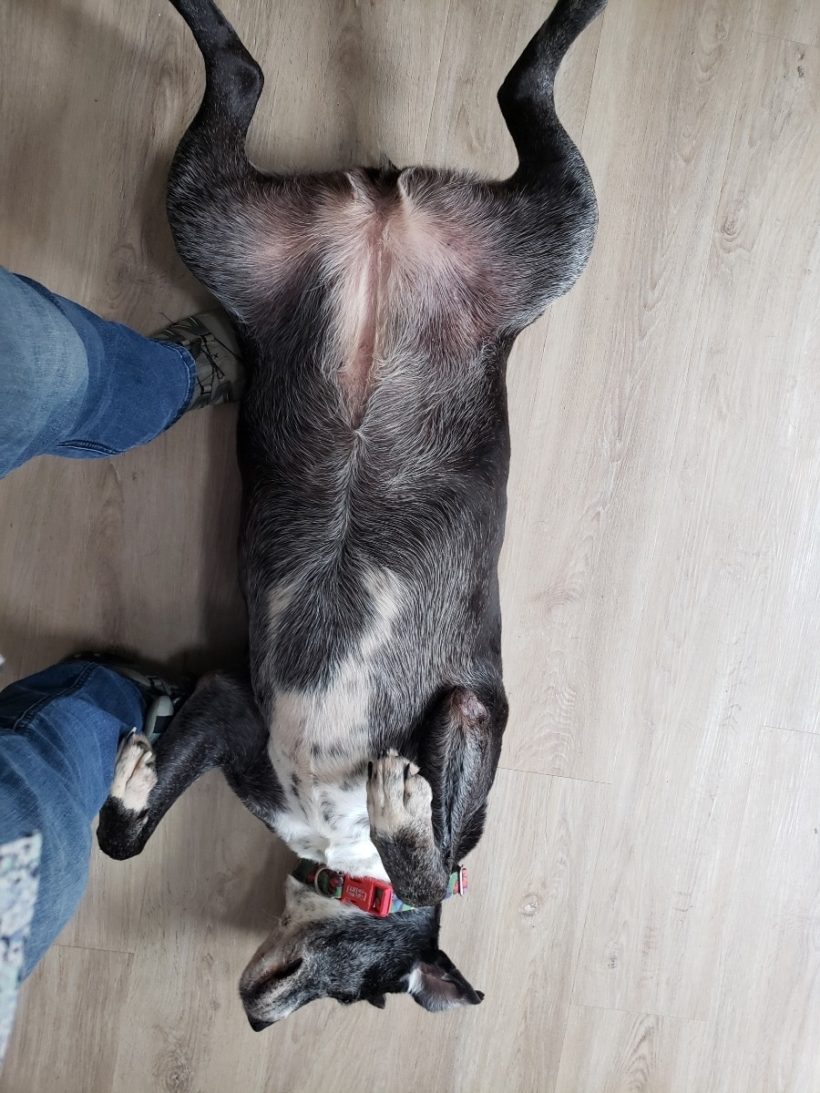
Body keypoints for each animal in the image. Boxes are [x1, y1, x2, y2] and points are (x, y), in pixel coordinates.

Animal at [97, 0, 605, 1027]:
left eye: (356, 1000)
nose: (256, 1019)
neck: (347, 863)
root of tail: (384, 211)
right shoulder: (265, 719)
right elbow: (433, 855)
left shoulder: (254, 702)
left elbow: (430, 853)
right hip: (546, 227)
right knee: (510, 84)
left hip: (224, 216)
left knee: (247, 73)